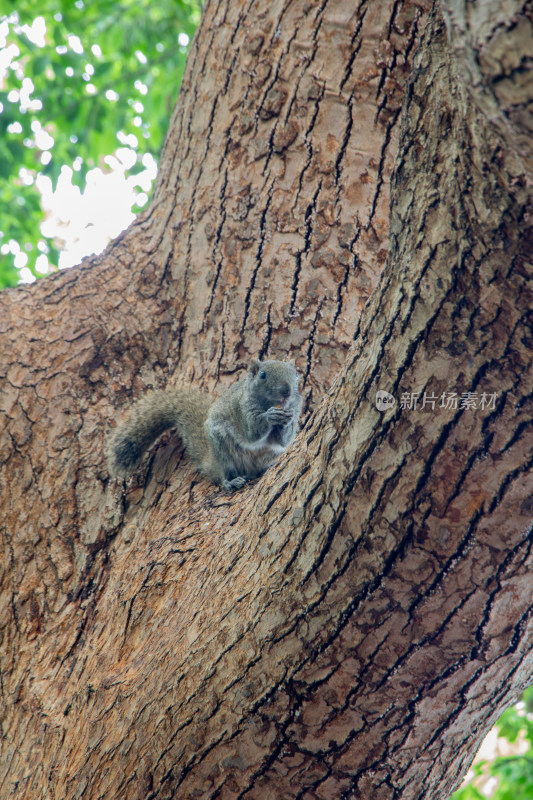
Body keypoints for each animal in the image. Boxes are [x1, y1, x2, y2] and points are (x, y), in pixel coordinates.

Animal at [106, 360, 302, 490]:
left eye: (296, 375)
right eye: (263, 375)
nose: (286, 391)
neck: (267, 403)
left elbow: (282, 441)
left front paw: (286, 421)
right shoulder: (240, 409)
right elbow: (251, 432)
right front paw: (270, 416)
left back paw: (265, 467)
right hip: (222, 450)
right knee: (223, 474)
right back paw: (230, 481)